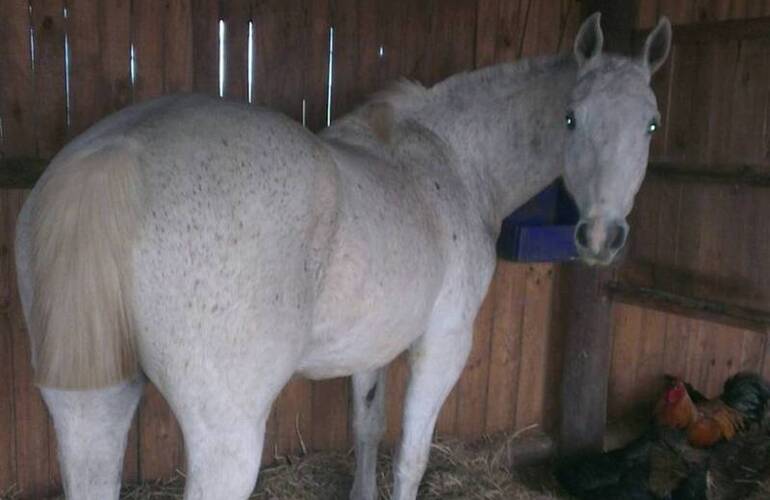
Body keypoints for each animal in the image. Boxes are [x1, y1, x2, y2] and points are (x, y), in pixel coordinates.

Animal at [16, 14, 664, 500]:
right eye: (571, 117)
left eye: (652, 124)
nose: (601, 237)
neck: (451, 160)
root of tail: (115, 150)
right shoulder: (444, 342)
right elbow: (411, 455)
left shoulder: (370, 346)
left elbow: (367, 428)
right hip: (226, 436)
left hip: (89, 408)